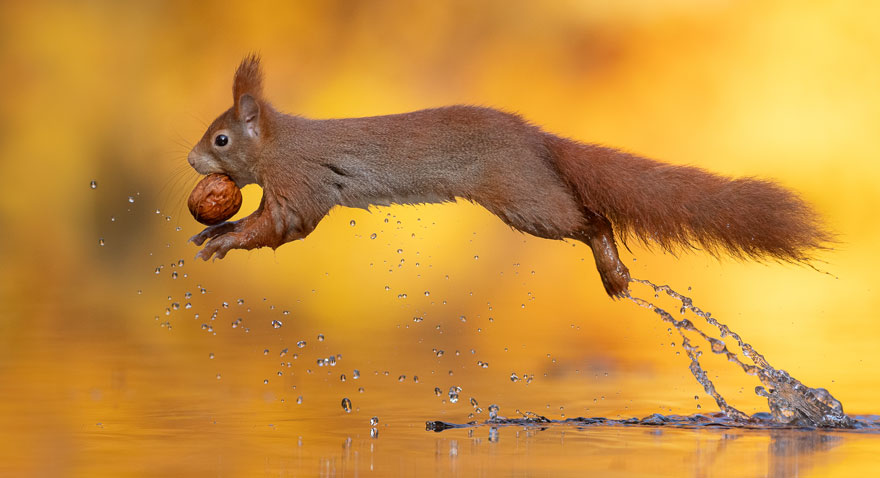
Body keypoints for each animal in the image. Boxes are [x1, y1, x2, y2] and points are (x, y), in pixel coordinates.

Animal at [187, 54, 832, 296]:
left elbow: (283, 226)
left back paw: (613, 269)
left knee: (591, 220)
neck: (280, 142)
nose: (192, 161)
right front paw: (211, 230)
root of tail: (537, 140)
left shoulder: (302, 183)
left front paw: (224, 239)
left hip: (526, 199)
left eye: (220, 138)